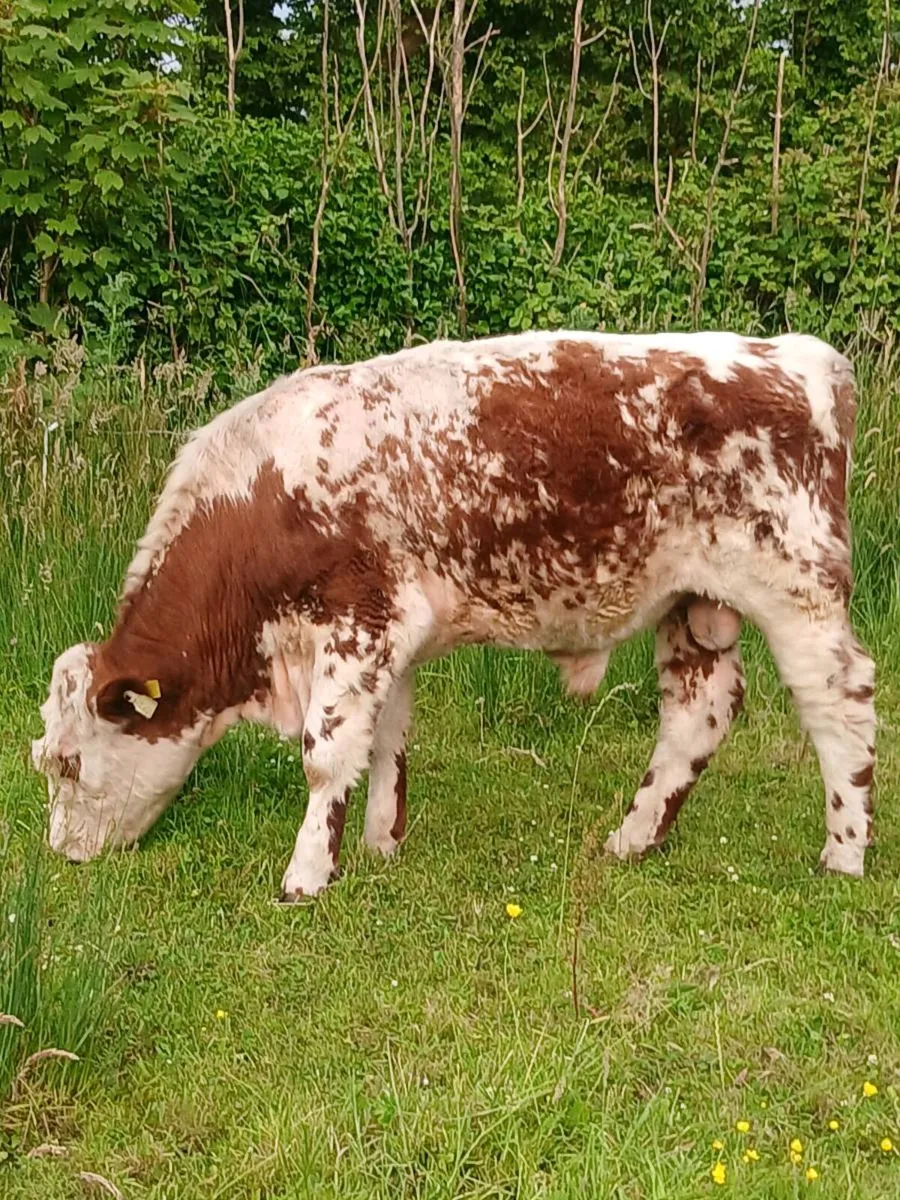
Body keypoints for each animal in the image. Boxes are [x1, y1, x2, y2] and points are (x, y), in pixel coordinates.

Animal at [32, 331, 876, 899]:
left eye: (68, 762)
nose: (63, 854)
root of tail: (798, 355)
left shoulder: (358, 620)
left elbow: (326, 754)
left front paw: (307, 875)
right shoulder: (390, 639)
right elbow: (386, 741)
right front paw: (380, 844)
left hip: (798, 591)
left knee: (841, 703)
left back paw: (845, 853)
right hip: (696, 604)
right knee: (698, 714)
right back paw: (631, 840)